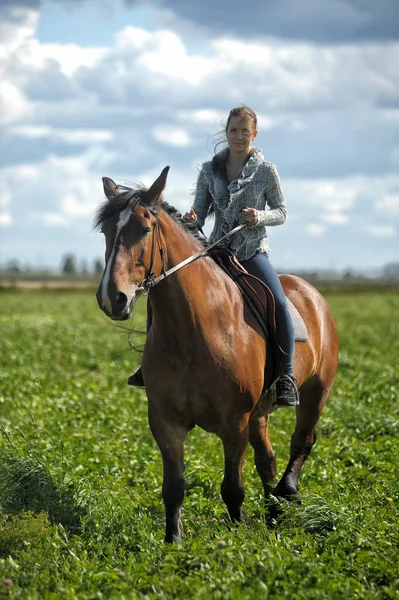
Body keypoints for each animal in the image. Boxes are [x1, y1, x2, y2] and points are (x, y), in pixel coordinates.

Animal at [95, 166, 340, 540]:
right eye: (106, 231)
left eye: (145, 229)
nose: (113, 297)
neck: (193, 330)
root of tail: (312, 293)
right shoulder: (165, 422)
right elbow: (174, 488)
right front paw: (173, 540)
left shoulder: (234, 423)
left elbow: (232, 489)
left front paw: (240, 533)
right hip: (260, 413)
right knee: (267, 458)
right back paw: (273, 511)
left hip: (316, 391)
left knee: (302, 441)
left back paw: (287, 493)